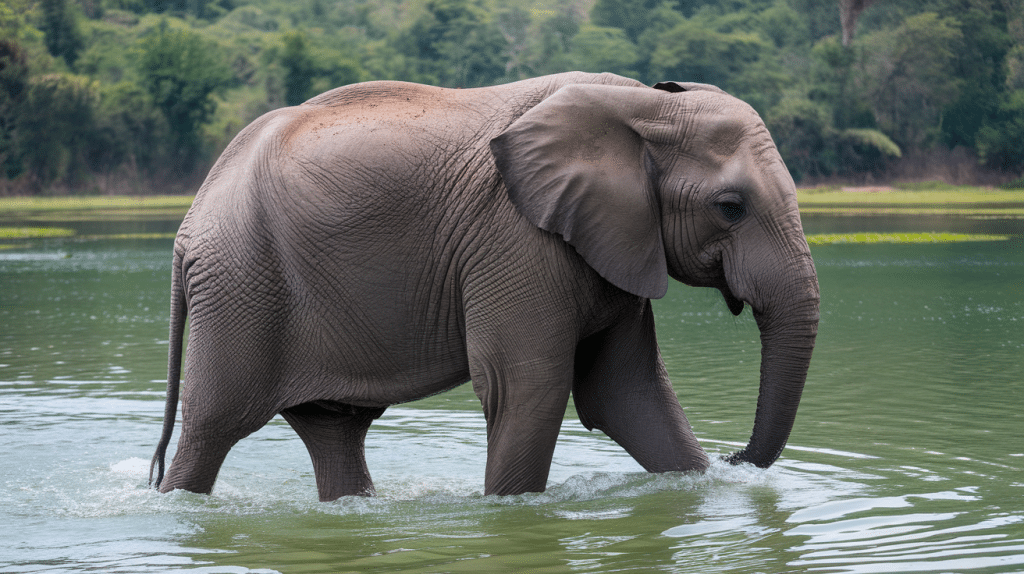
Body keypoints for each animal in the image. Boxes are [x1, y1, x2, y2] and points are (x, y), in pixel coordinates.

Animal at [149, 71, 819, 501]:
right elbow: (528, 387)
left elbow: (627, 392)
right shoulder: (518, 238)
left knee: (334, 428)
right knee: (213, 426)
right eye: (730, 207)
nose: (734, 457)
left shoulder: (611, 240)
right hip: (239, 282)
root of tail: (189, 223)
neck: (641, 104)